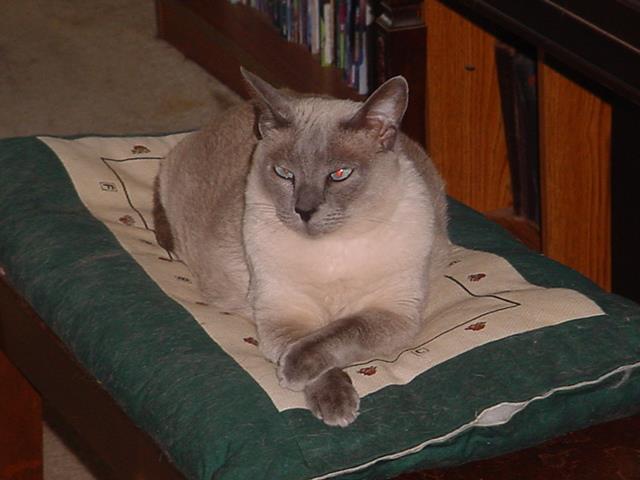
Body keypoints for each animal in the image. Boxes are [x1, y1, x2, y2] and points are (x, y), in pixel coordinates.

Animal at [152, 68, 448, 428]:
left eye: (339, 174)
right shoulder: (285, 314)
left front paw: (301, 378)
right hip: (173, 177)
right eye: (284, 174)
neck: (334, 247)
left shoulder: (393, 314)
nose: (304, 211)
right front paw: (335, 403)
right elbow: (311, 348)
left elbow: (341, 332)